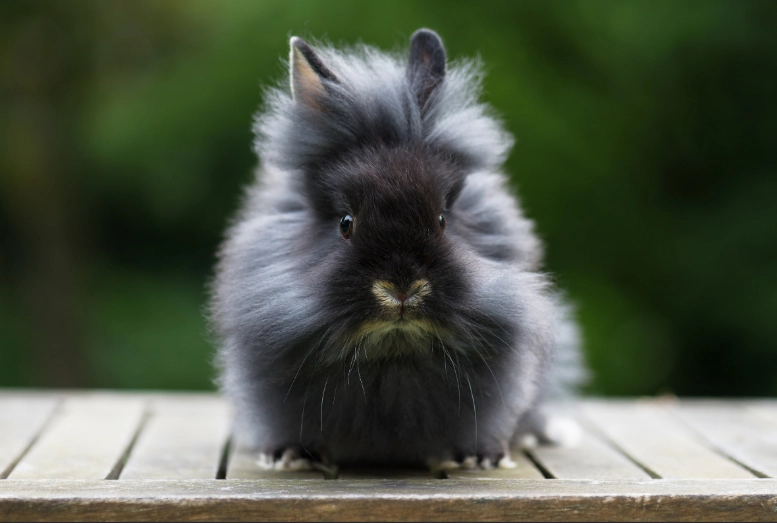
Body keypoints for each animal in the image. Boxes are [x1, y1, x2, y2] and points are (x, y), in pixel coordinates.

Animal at [210, 29, 586, 472]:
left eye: (442, 219)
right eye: (346, 223)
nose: (402, 289)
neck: (393, 353)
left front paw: (480, 458)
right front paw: (289, 456)